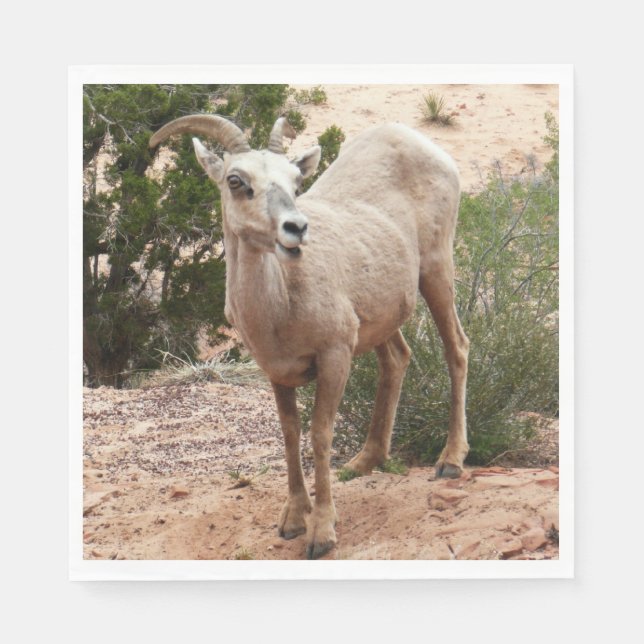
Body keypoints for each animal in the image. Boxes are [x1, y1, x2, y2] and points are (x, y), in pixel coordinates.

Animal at [149, 114, 469, 559]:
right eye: (236, 180)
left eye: (295, 181)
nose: (296, 228)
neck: (280, 305)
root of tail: (418, 141)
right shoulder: (276, 372)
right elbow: (290, 434)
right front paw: (292, 521)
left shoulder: (335, 356)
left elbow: (320, 434)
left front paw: (321, 533)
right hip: (383, 316)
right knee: (397, 358)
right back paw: (363, 462)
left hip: (436, 271)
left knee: (457, 348)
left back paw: (450, 461)